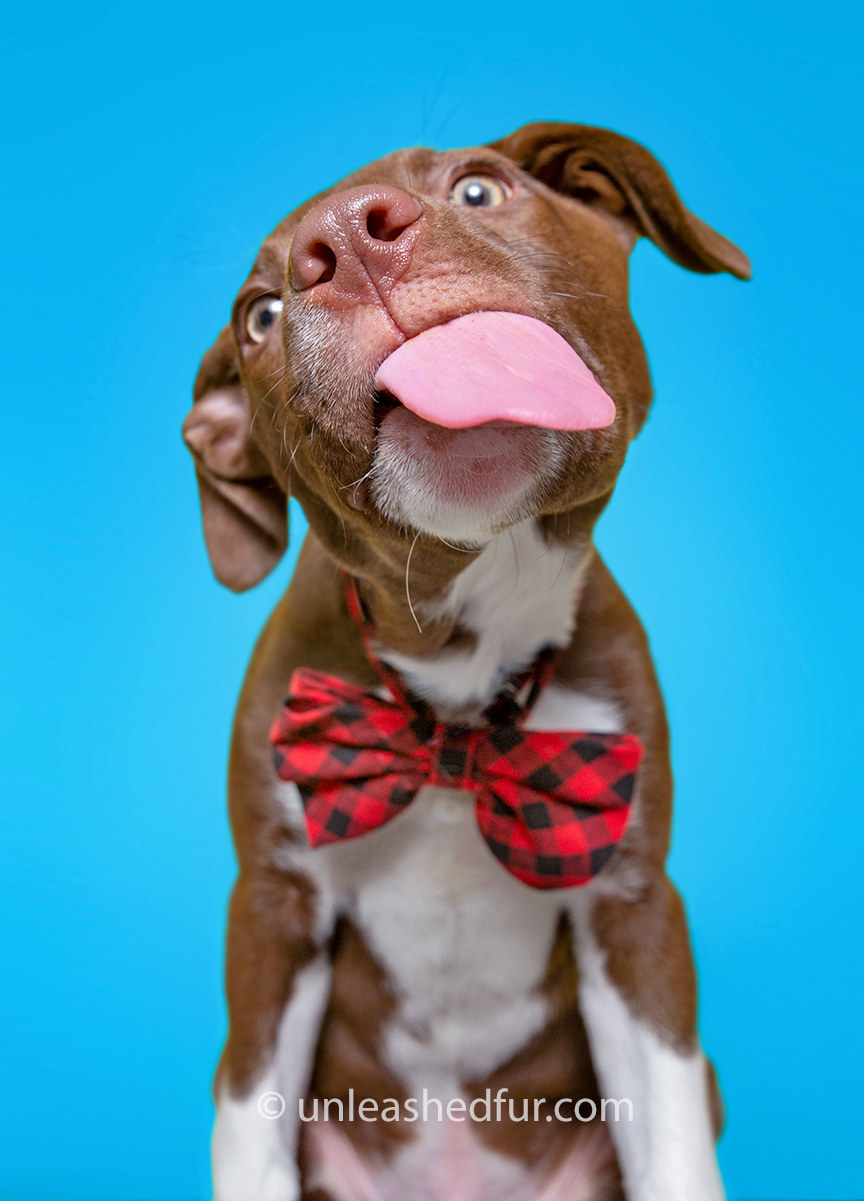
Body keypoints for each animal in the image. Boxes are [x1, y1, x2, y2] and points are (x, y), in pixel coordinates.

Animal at [182, 119, 749, 1201]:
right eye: (259, 314)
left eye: (480, 190)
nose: (343, 240)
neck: (456, 680)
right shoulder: (273, 908)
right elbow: (247, 1129)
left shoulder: (633, 909)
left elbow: (672, 1146)